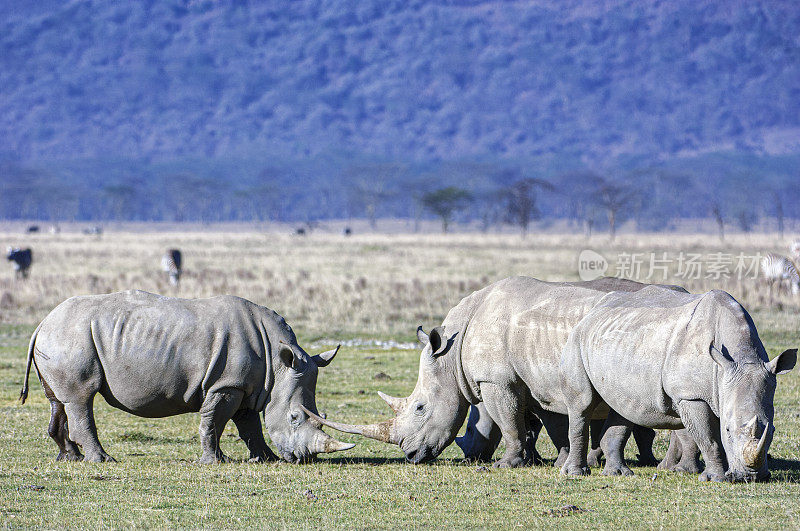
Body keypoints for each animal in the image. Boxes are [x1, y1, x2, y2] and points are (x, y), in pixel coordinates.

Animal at [20, 294, 354, 464]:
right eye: (295, 417)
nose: (302, 458)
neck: (277, 363)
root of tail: (42, 322)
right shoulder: (226, 383)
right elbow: (215, 421)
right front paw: (215, 462)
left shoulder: (248, 386)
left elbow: (250, 427)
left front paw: (266, 458)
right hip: (71, 337)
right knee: (81, 399)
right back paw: (102, 460)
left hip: (59, 339)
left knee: (58, 401)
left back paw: (70, 458)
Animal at [306, 276, 656, 472]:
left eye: (420, 407)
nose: (410, 455)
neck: (450, 352)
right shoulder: (534, 379)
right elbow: (546, 423)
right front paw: (555, 462)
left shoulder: (497, 380)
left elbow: (510, 423)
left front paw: (507, 464)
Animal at [560, 286, 796, 482]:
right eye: (728, 430)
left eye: (773, 430)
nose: (751, 477)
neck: (741, 358)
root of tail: (592, 312)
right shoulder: (691, 395)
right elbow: (709, 438)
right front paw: (716, 478)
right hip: (577, 340)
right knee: (583, 405)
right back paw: (575, 473)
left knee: (622, 409)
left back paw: (619, 473)